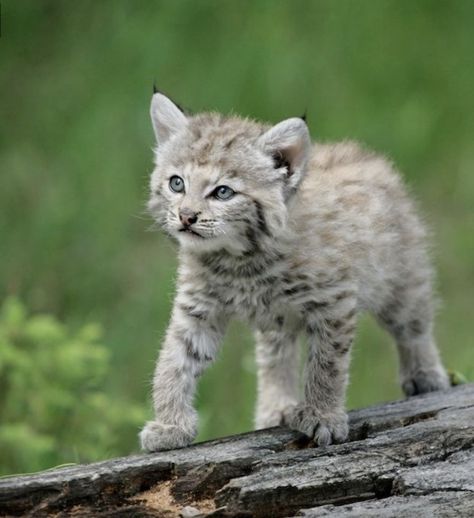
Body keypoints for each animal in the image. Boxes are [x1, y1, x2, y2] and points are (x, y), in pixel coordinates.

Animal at [140, 91, 448, 452]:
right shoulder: (198, 306)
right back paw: (276, 408)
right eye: (177, 184)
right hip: (276, 318)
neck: (239, 260)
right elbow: (173, 360)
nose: (186, 216)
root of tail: (367, 155)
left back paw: (426, 376)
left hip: (401, 279)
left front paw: (322, 417)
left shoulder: (334, 303)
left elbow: (326, 365)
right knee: (276, 357)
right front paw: (170, 426)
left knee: (414, 325)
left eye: (223, 192)